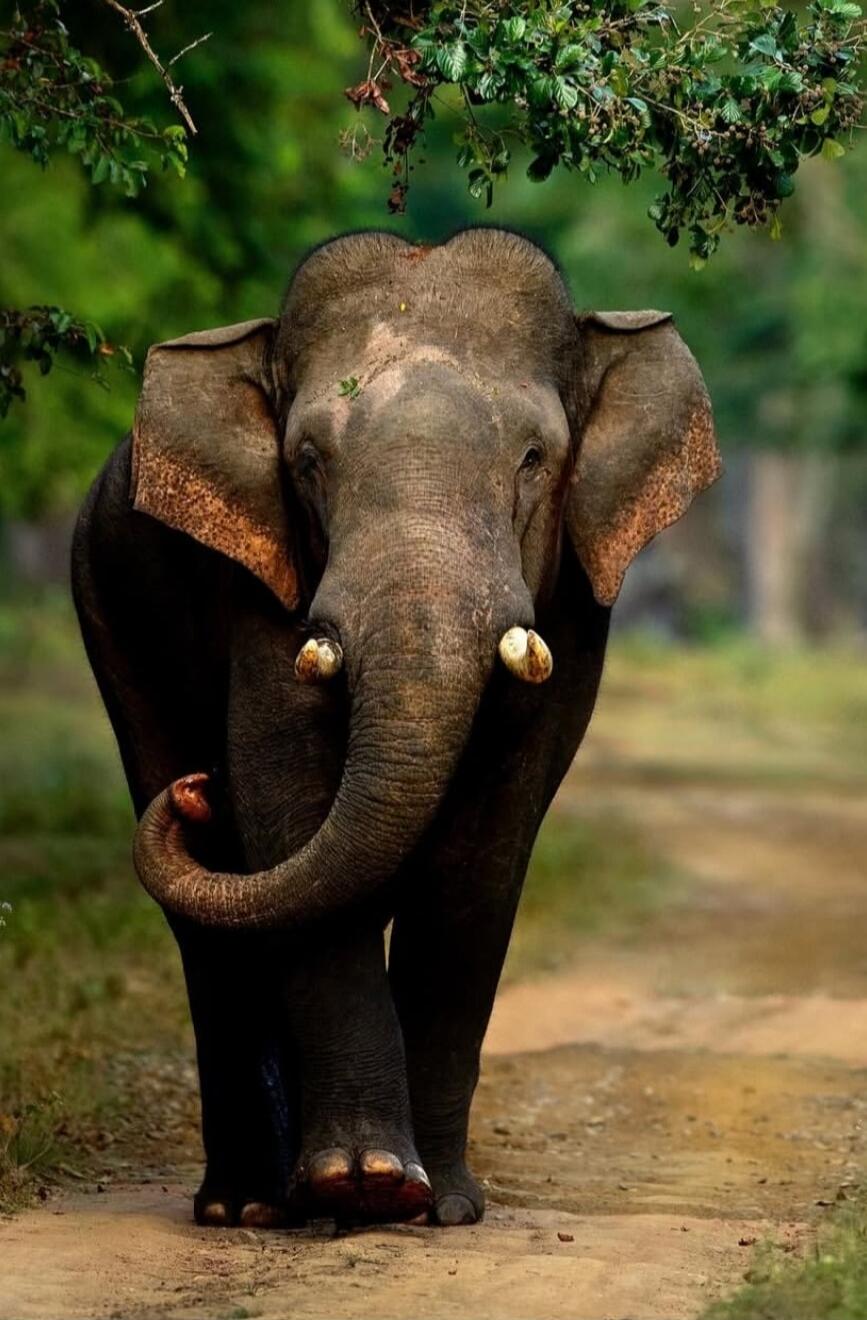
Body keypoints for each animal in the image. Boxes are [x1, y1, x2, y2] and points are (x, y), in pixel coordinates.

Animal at [71, 227, 721, 1230]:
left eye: (534, 457)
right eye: (307, 461)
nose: (194, 790)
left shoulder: (575, 607)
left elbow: (486, 843)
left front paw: (439, 1205)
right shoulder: (259, 580)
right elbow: (287, 797)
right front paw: (367, 1183)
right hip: (107, 608)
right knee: (214, 914)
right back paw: (247, 1205)